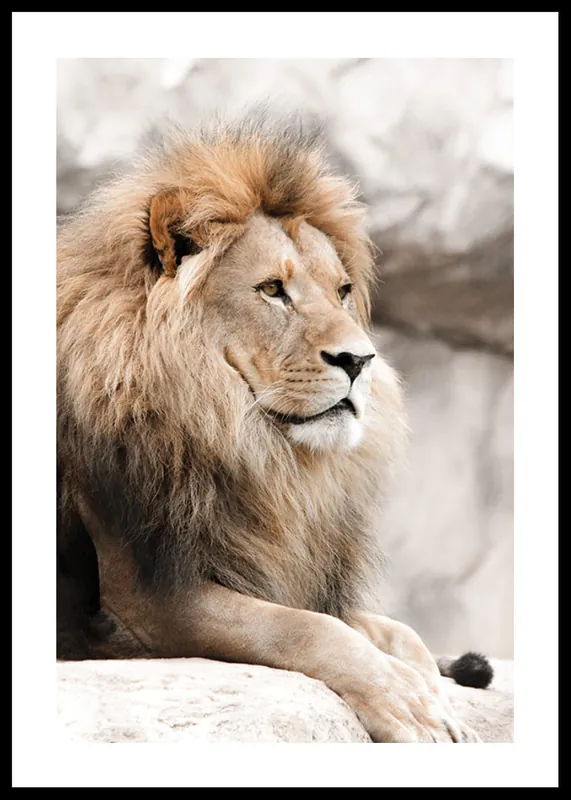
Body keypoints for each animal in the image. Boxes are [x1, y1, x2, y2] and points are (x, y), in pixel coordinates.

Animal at [57, 111, 491, 743]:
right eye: (272, 290)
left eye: (342, 292)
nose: (360, 361)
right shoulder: (142, 595)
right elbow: (305, 628)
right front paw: (409, 706)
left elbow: (395, 632)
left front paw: (430, 692)